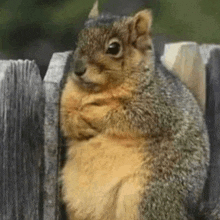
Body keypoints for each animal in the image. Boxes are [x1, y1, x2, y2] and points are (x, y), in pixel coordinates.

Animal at [59, 1, 211, 218]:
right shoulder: (67, 98)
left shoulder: (156, 106)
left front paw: (90, 113)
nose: (78, 70)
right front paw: (77, 122)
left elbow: (121, 116)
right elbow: (66, 118)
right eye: (78, 39)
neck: (96, 91)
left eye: (113, 48)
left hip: (145, 198)